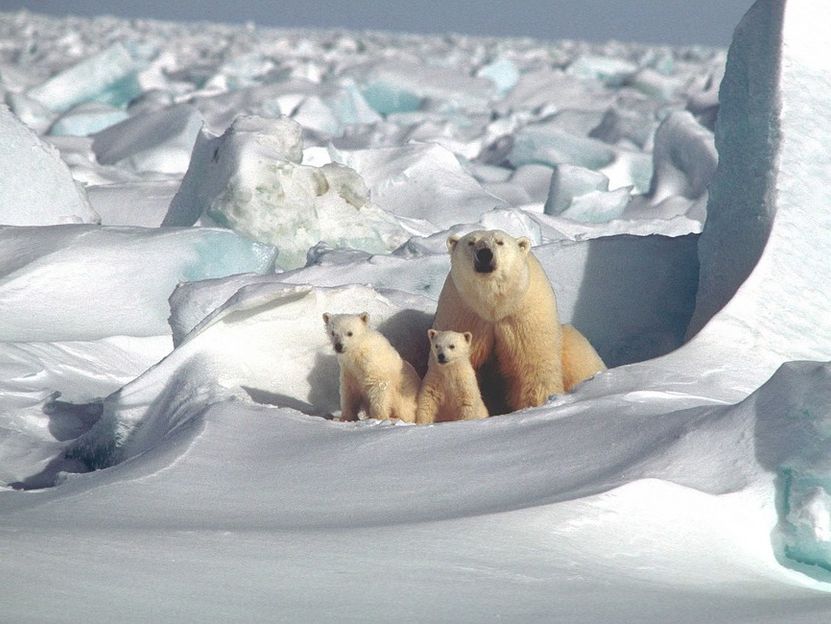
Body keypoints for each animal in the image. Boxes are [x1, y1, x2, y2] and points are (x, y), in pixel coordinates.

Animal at [436, 229, 604, 414]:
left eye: (500, 242)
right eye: (471, 242)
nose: (485, 254)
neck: (493, 307)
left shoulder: (523, 316)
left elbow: (532, 366)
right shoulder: (464, 314)